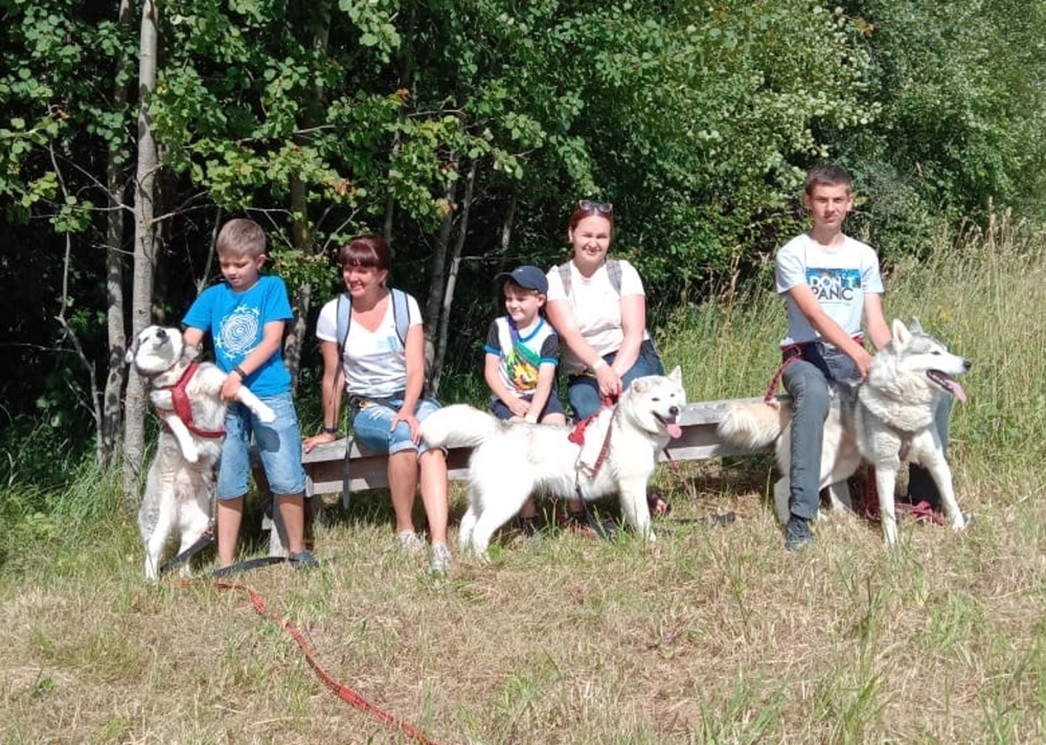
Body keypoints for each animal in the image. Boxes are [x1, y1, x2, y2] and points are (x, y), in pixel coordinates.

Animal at [126, 325, 275, 578]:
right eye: (144, 338)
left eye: (160, 329)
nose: (160, 333)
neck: (176, 377)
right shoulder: (165, 410)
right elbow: (180, 427)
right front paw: (190, 451)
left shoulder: (221, 383)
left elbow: (247, 395)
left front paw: (266, 412)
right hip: (160, 518)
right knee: (152, 550)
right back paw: (152, 580)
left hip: (199, 524)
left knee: (184, 553)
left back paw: (186, 577)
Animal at [420, 367, 686, 559]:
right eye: (656, 399)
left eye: (673, 395)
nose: (674, 409)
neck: (633, 426)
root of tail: (497, 429)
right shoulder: (633, 485)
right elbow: (644, 520)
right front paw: (651, 544)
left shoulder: (626, 489)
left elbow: (633, 517)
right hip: (506, 501)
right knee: (480, 531)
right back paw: (486, 562)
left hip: (481, 497)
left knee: (467, 525)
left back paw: (467, 557)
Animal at [717, 319, 969, 545]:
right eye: (934, 353)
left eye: (946, 350)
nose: (968, 363)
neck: (904, 405)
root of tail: (792, 403)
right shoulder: (886, 466)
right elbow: (888, 512)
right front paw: (892, 544)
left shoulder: (936, 460)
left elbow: (950, 498)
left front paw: (959, 528)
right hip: (820, 462)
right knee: (783, 488)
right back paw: (788, 521)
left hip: (838, 467)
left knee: (813, 491)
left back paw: (820, 518)